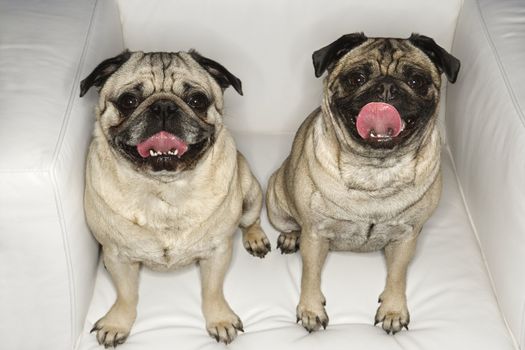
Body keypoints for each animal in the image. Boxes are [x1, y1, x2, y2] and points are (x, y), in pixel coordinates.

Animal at [81, 50, 270, 348]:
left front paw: (220, 320)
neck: (164, 189)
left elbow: (212, 290)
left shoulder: (218, 252)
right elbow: (126, 295)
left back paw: (255, 238)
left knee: (251, 220)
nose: (163, 107)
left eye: (197, 100)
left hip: (250, 193)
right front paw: (117, 323)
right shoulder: (118, 257)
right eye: (128, 101)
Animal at [266, 34, 458, 334]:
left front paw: (393, 310)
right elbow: (310, 275)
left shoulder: (406, 237)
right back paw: (290, 236)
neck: (375, 168)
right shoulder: (315, 234)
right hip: (276, 201)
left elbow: (398, 275)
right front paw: (310, 309)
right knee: (290, 224)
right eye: (357, 78)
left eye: (416, 80)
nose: (387, 87)